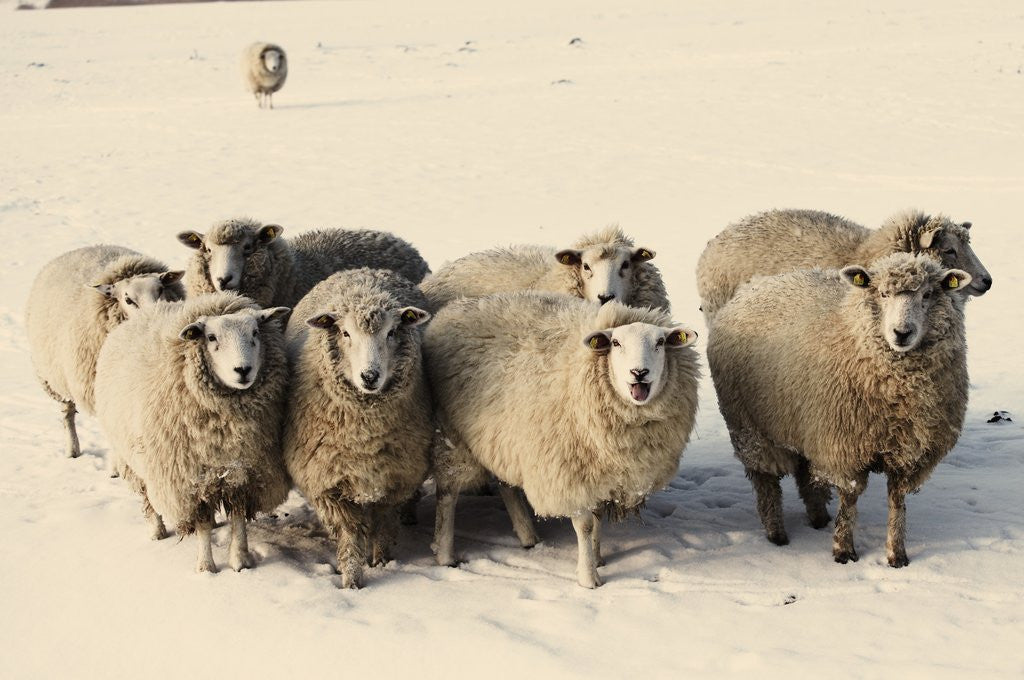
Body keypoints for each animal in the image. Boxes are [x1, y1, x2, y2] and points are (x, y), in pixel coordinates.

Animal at [25, 245, 184, 459]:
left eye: (160, 290)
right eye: (128, 299)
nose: (157, 314)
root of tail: (85, 247)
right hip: (54, 378)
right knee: (67, 413)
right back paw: (72, 450)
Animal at [94, 292, 291, 573]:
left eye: (255, 332)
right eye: (211, 337)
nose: (243, 370)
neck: (226, 429)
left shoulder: (243, 473)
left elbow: (238, 518)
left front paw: (240, 561)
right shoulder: (189, 481)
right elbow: (203, 525)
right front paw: (206, 567)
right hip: (134, 459)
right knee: (147, 498)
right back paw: (156, 531)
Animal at [282, 268, 433, 589]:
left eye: (391, 332)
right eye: (345, 333)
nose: (369, 376)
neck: (365, 435)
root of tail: (364, 271)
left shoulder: (394, 480)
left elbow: (384, 525)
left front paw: (382, 561)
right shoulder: (328, 484)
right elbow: (349, 534)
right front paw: (352, 581)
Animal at [424, 292, 700, 588]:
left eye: (660, 342)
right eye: (616, 343)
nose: (639, 372)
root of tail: (457, 305)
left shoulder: (601, 472)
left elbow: (598, 520)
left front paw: (597, 557)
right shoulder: (570, 471)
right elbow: (586, 525)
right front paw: (588, 578)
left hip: (503, 436)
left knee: (506, 484)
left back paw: (527, 536)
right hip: (451, 434)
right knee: (447, 494)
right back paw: (445, 554)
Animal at [706, 252, 972, 567]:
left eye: (928, 294)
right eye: (882, 294)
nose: (902, 333)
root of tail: (756, 283)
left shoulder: (908, 452)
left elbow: (897, 501)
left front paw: (896, 554)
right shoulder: (843, 445)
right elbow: (850, 499)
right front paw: (843, 549)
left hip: (801, 422)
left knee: (805, 472)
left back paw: (818, 517)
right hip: (749, 425)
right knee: (766, 480)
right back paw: (776, 532)